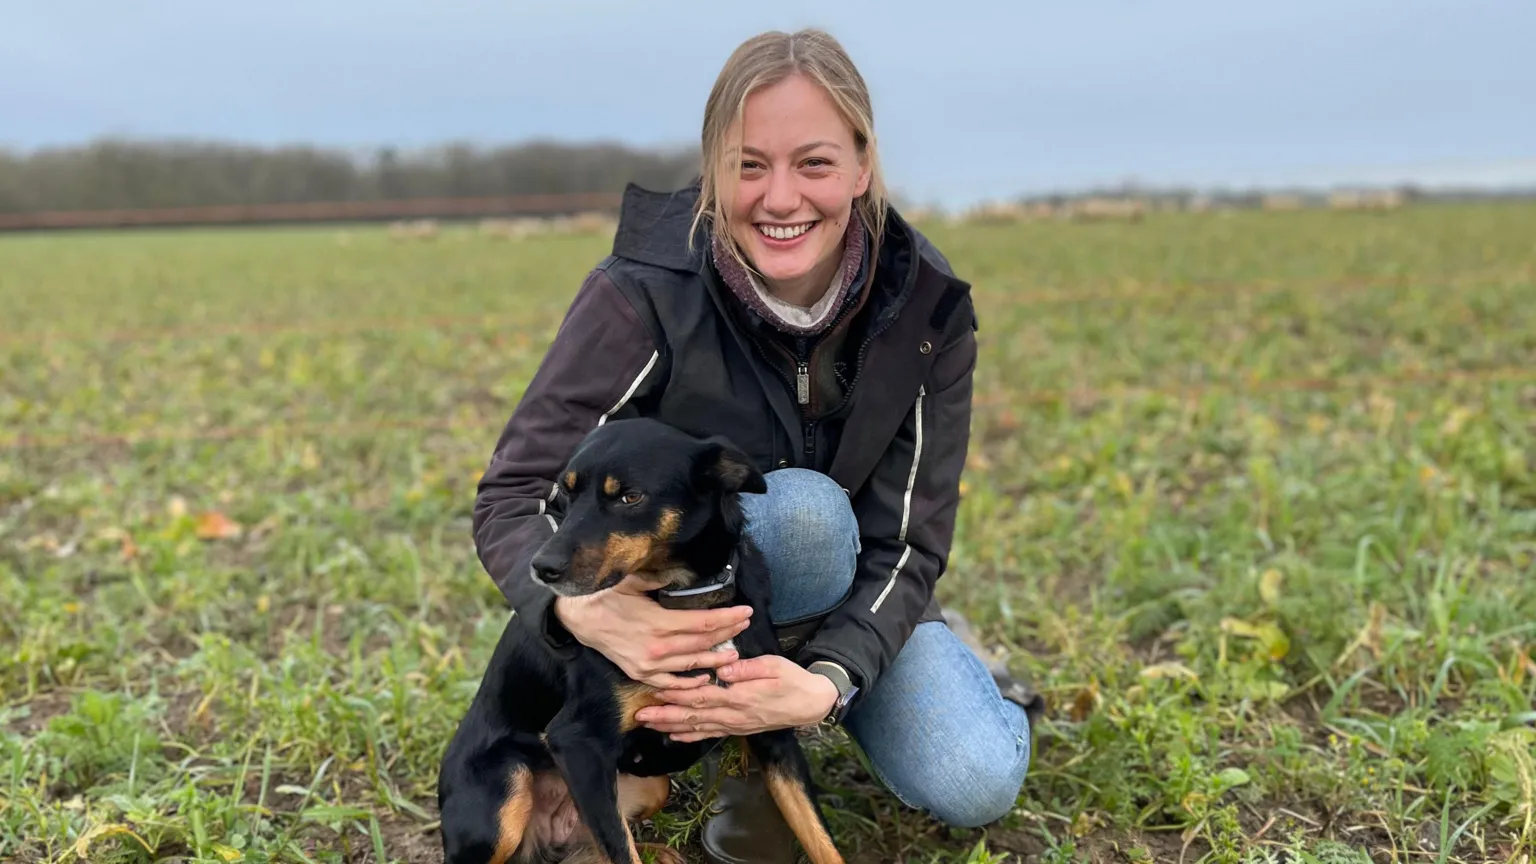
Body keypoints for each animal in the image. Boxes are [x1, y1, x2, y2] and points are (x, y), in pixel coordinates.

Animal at [436, 418, 841, 860]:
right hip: (506, 797)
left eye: (630, 497)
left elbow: (820, 837)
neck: (688, 595)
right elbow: (620, 850)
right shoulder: (576, 742)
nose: (541, 568)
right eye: (566, 493)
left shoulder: (770, 724)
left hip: (648, 786)